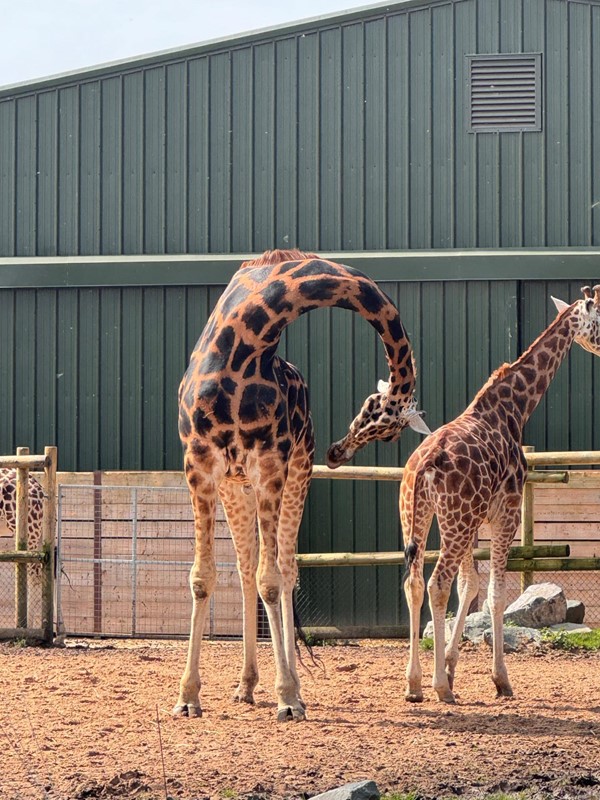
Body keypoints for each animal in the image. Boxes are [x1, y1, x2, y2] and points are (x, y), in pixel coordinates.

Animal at [173, 247, 432, 720]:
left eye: (386, 432)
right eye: (376, 414)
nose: (337, 453)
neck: (249, 340)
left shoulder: (272, 463)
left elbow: (273, 580)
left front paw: (289, 697)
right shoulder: (198, 464)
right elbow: (202, 577)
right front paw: (187, 697)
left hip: (295, 471)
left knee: (283, 569)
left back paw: (284, 688)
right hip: (235, 485)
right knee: (245, 568)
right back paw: (245, 685)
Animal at [400, 284, 600, 704]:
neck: (514, 409)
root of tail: (422, 468)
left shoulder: (476, 520)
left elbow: (469, 586)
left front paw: (451, 667)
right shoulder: (505, 512)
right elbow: (495, 592)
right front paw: (499, 680)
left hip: (418, 516)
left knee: (414, 582)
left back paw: (414, 685)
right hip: (455, 521)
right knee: (436, 583)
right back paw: (439, 689)